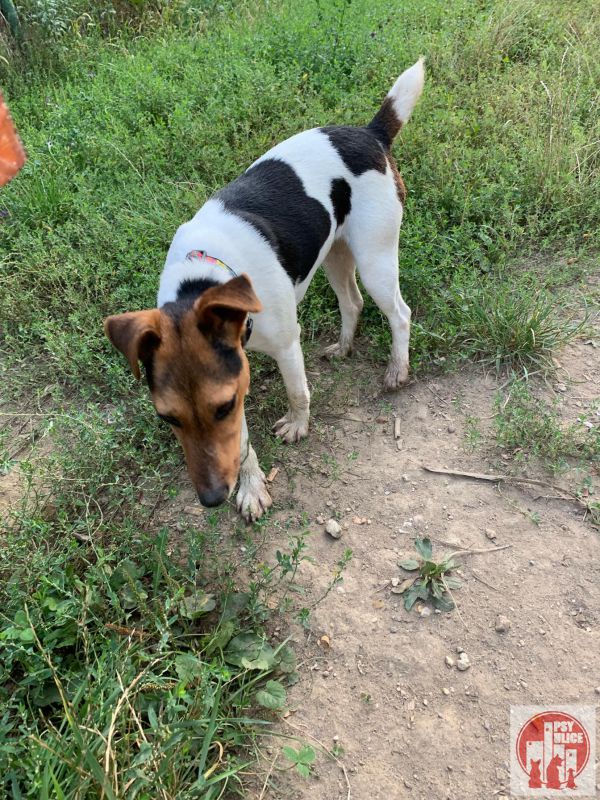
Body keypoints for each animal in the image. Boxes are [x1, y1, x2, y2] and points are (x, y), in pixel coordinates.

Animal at [104, 58, 424, 521]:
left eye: (222, 408)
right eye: (168, 418)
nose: (212, 498)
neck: (207, 281)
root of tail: (371, 132)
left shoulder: (283, 350)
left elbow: (297, 392)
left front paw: (298, 426)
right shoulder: (234, 370)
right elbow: (241, 444)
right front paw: (252, 486)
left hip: (375, 256)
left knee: (399, 312)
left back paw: (397, 369)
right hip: (334, 253)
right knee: (353, 302)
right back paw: (344, 346)